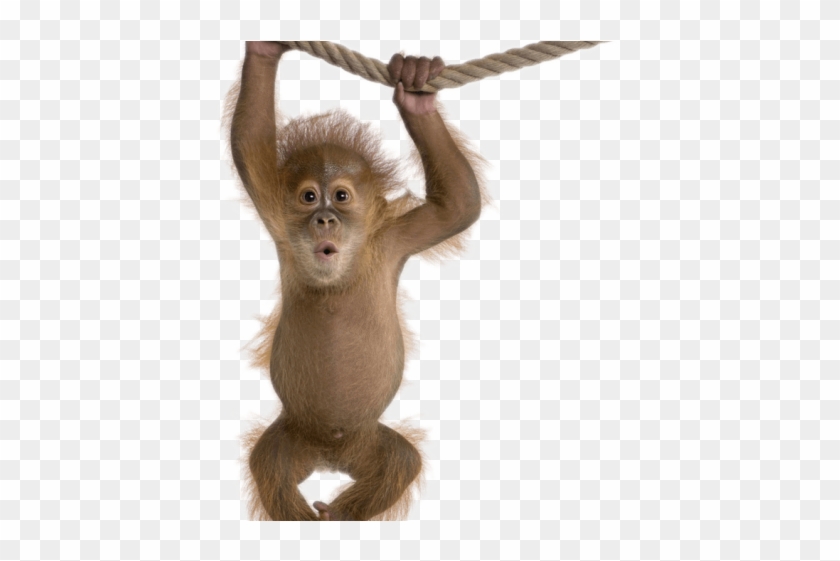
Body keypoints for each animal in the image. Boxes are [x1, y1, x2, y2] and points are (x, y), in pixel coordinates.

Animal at [224, 41, 490, 521]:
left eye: (342, 196)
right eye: (309, 197)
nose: (325, 219)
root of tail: (330, 456)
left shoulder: (395, 239)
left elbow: (459, 205)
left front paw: (416, 90)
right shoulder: (275, 211)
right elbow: (249, 144)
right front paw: (265, 50)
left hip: (368, 443)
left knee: (400, 462)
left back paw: (339, 514)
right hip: (292, 436)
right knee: (270, 466)